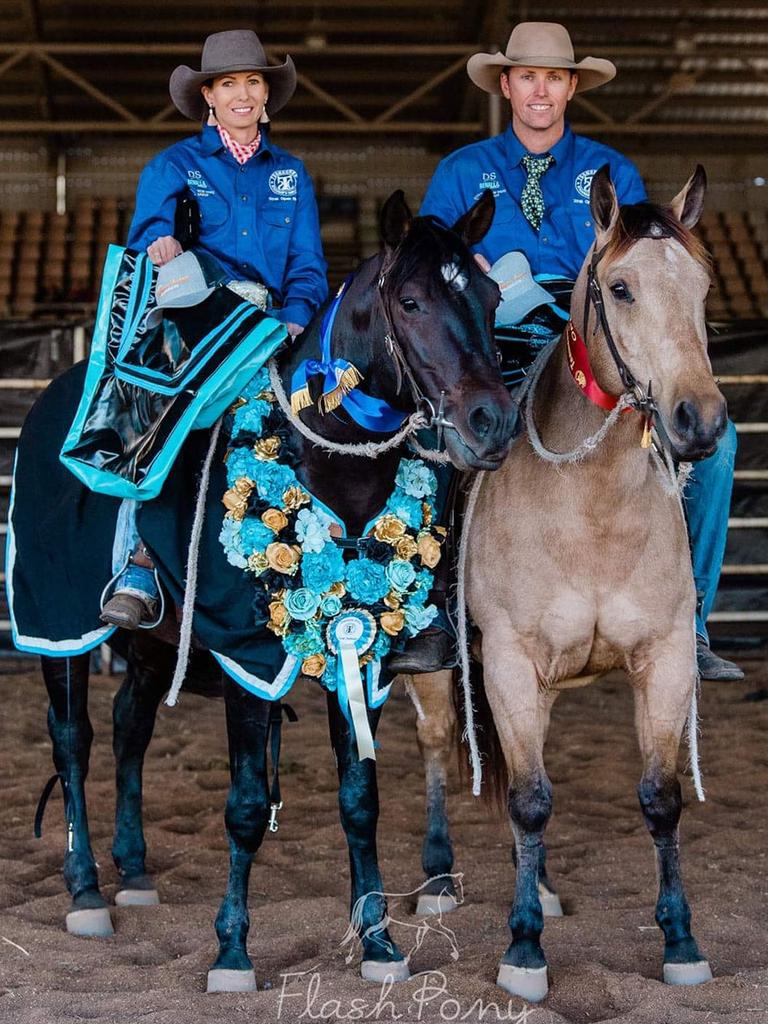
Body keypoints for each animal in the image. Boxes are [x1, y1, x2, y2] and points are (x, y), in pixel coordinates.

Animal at [7, 190, 518, 991]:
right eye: (411, 301)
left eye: (491, 298)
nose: (492, 422)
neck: (325, 464)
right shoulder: (247, 661)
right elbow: (246, 806)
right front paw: (232, 951)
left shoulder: (363, 652)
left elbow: (360, 800)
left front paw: (378, 942)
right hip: (55, 623)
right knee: (72, 741)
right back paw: (86, 889)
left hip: (155, 643)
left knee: (128, 728)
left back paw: (134, 871)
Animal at [409, 167, 729, 999]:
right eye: (619, 288)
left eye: (703, 286)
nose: (701, 419)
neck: (592, 510)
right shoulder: (508, 662)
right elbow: (528, 799)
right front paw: (522, 951)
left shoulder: (665, 658)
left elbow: (659, 798)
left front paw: (681, 940)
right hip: (444, 673)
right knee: (438, 746)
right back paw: (437, 881)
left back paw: (546, 887)